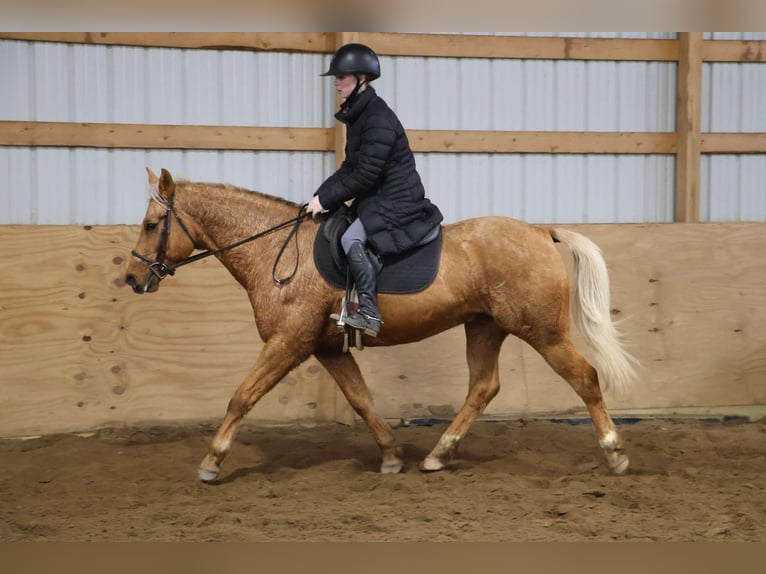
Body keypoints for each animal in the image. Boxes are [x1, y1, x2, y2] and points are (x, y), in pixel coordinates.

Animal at [126, 168, 638, 482]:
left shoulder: (287, 342)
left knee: (584, 377)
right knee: (483, 386)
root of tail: (539, 231)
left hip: (542, 332)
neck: (277, 252)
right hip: (484, 327)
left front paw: (211, 462)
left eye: (151, 225)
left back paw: (615, 452)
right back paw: (438, 454)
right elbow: (361, 399)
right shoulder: (325, 348)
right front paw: (392, 455)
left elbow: (242, 396)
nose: (132, 279)